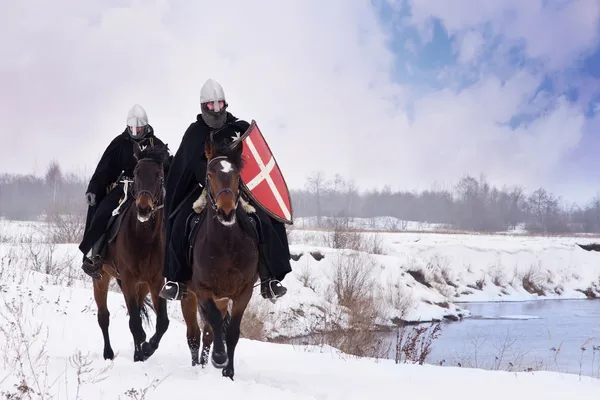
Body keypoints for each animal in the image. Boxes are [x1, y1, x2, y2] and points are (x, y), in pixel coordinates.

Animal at [92, 141, 171, 362]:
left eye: (160, 176)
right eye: (136, 173)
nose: (144, 208)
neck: (144, 238)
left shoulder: (156, 281)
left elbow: (162, 322)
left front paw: (147, 348)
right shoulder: (128, 279)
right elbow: (134, 323)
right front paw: (140, 355)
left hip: (141, 285)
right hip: (101, 278)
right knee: (104, 317)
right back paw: (108, 353)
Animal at [180, 133, 260, 380]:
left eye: (237, 175)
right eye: (209, 174)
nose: (226, 212)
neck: (225, 246)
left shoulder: (242, 292)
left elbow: (232, 331)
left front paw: (229, 371)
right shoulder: (203, 289)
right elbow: (214, 322)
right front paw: (218, 358)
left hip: (222, 298)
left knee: (208, 333)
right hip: (189, 295)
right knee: (194, 334)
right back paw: (197, 366)